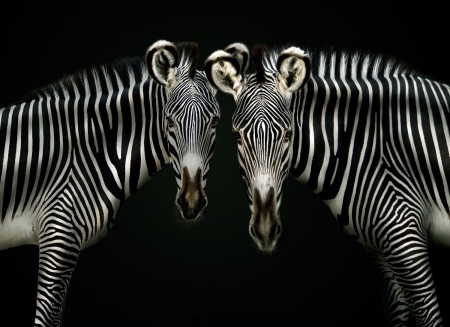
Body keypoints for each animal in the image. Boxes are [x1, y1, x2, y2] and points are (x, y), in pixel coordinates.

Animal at [207, 44, 450, 327]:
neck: (364, 147)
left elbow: (429, 316)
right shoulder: (379, 249)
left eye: (288, 134)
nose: (265, 231)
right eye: (237, 136)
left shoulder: (406, 236)